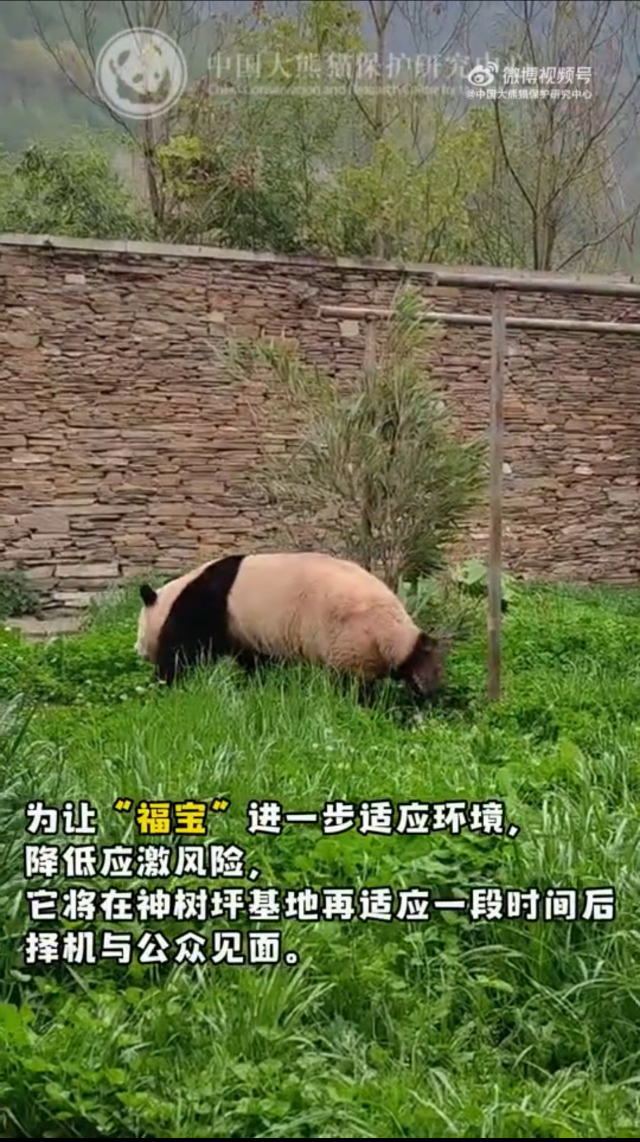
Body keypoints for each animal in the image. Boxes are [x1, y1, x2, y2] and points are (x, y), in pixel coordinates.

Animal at [134, 550, 445, 698]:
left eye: (140, 630)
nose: (138, 650)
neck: (174, 594)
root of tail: (390, 628)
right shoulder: (247, 630)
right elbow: (255, 660)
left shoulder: (208, 605)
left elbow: (185, 650)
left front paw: (161, 681)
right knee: (415, 656)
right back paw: (425, 684)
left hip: (349, 637)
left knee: (351, 682)